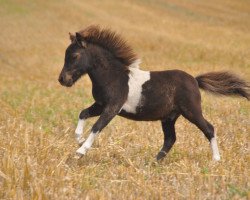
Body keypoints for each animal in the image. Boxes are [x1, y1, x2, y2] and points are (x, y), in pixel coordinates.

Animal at [57, 25, 249, 162]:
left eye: (74, 56)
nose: (62, 79)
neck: (113, 76)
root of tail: (194, 80)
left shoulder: (113, 107)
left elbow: (97, 126)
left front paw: (80, 151)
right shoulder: (100, 105)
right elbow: (83, 113)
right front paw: (79, 139)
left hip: (191, 111)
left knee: (209, 128)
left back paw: (216, 159)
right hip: (169, 117)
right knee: (170, 139)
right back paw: (154, 162)